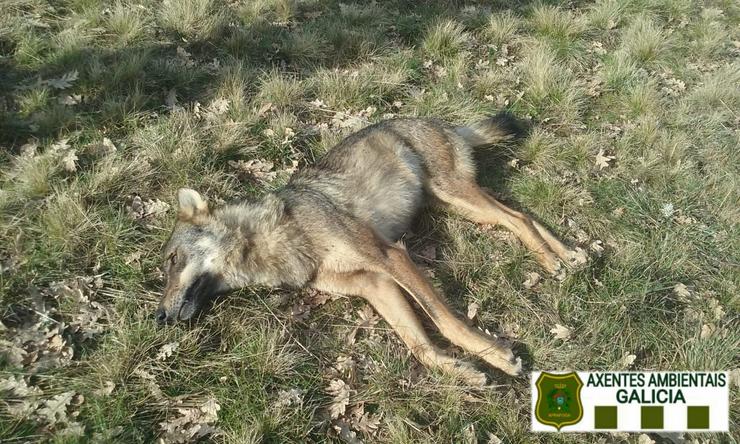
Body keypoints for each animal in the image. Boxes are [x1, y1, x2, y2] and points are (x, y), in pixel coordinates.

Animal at [156, 114, 584, 386]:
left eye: (172, 261)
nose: (159, 318)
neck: (273, 238)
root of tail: (440, 120)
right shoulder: (375, 285)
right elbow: (419, 346)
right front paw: (461, 372)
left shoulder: (391, 257)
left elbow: (445, 320)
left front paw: (496, 356)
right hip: (457, 205)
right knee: (520, 214)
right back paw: (569, 257)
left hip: (455, 195)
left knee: (518, 219)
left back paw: (551, 261)